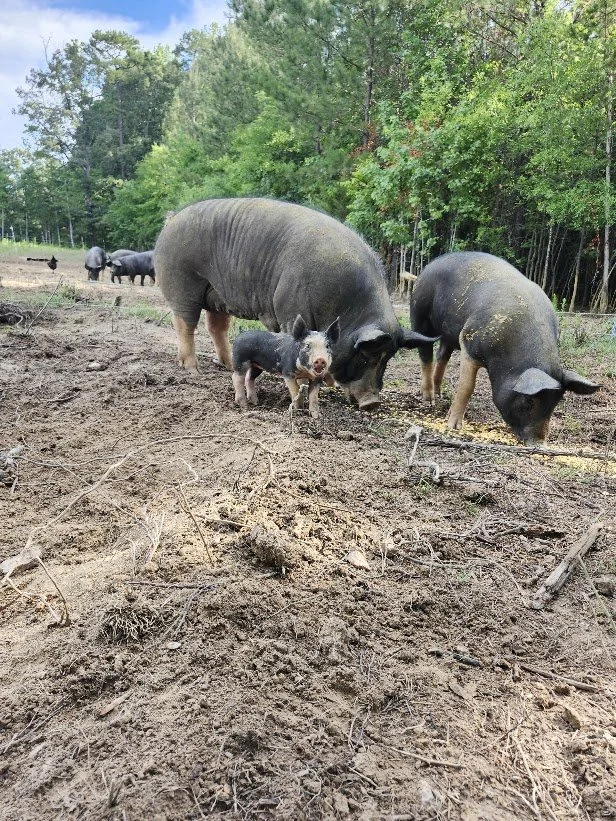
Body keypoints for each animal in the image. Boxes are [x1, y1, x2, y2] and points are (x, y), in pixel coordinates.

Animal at [154, 198, 437, 410]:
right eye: (365, 356)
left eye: (389, 357)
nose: (373, 403)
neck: (345, 308)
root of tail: (170, 221)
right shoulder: (289, 311)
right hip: (183, 283)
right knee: (185, 323)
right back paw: (193, 370)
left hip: (217, 297)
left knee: (216, 327)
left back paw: (224, 365)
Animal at [410, 251, 601, 445]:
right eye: (529, 401)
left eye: (555, 403)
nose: (539, 443)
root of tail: (429, 266)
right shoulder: (469, 344)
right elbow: (467, 387)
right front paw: (454, 426)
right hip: (419, 314)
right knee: (425, 354)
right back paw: (429, 399)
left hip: (448, 335)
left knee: (442, 355)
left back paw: (439, 395)